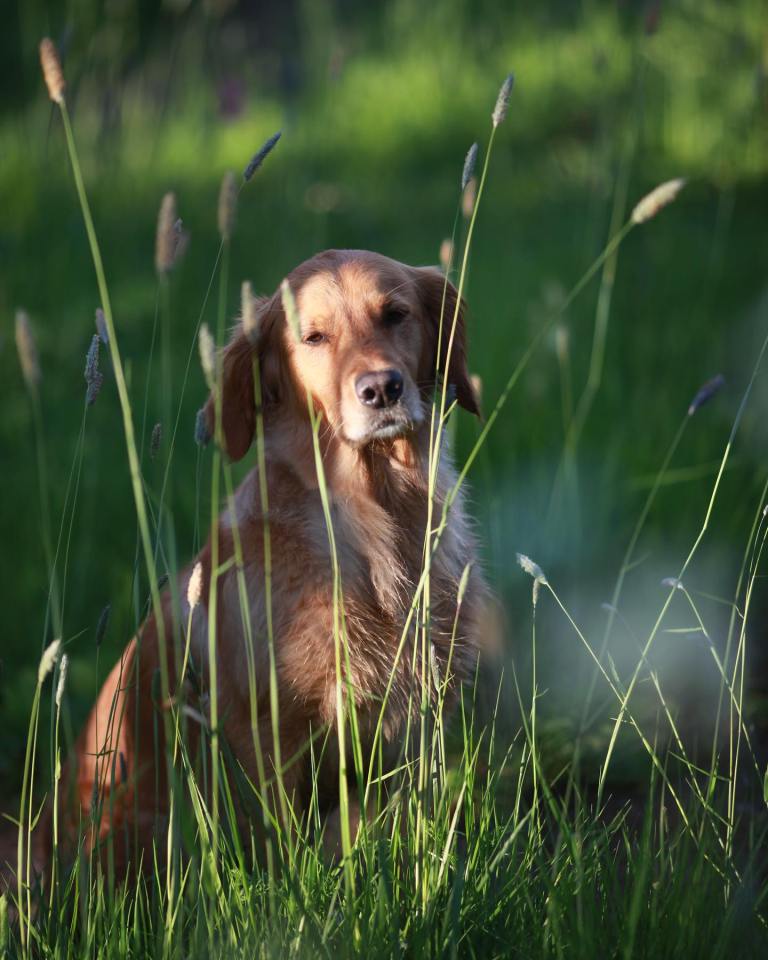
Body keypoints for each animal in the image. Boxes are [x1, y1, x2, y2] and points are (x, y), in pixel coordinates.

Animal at [49, 251, 486, 872]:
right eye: (314, 337)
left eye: (395, 314)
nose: (381, 388)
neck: (373, 517)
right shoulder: (263, 728)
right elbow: (282, 843)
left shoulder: (422, 712)